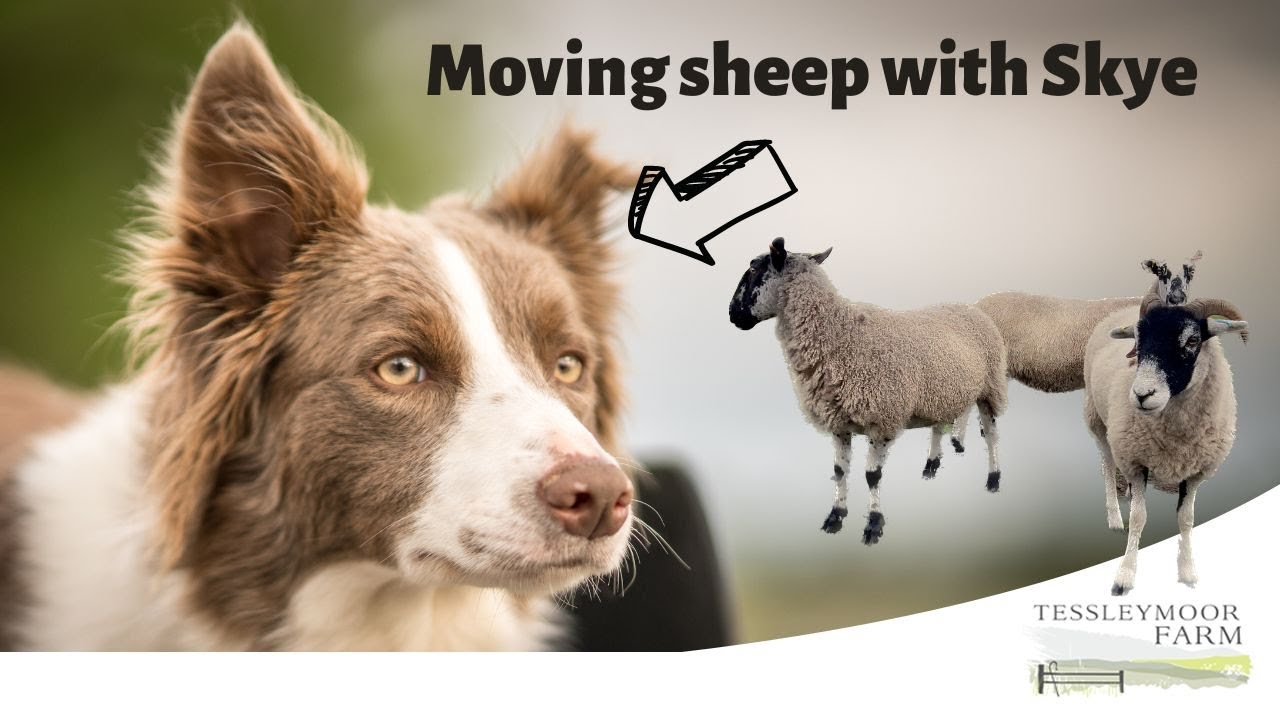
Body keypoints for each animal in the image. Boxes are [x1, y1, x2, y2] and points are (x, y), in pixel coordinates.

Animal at [728, 238, 1008, 544]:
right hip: (943, 391)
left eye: (754, 269)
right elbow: (840, 471)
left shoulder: (882, 419)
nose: (732, 314)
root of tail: (973, 307)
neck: (839, 333)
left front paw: (873, 524)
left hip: (991, 387)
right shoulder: (839, 422)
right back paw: (931, 466)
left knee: (991, 436)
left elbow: (873, 476)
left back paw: (994, 479)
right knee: (941, 424)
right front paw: (835, 516)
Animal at [1085, 292, 1248, 595]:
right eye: (1138, 340)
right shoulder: (1136, 461)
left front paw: (1188, 572)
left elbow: (1186, 519)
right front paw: (1124, 577)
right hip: (1099, 421)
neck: (1177, 439)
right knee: (1107, 463)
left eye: (1193, 340)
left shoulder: (1195, 472)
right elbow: (1139, 518)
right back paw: (1115, 518)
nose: (1142, 394)